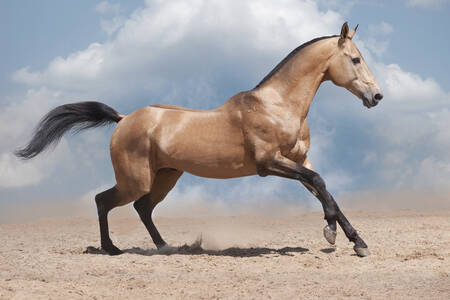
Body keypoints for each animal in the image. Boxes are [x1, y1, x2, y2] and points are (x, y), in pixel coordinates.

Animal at [16, 22, 384, 258]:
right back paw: (111, 249)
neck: (277, 105)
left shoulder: (298, 160)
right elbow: (320, 183)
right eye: (355, 59)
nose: (376, 96)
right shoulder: (270, 164)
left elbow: (325, 190)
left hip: (165, 177)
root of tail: (123, 119)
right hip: (136, 180)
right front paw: (337, 235)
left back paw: (164, 247)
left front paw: (352, 240)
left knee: (142, 207)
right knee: (103, 200)